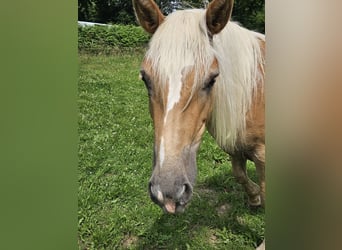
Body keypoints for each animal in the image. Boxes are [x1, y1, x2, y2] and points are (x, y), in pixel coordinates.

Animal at [133, 0, 264, 217]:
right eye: (145, 79)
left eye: (212, 79)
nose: (168, 191)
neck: (254, 93)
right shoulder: (234, 146)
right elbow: (240, 175)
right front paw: (254, 199)